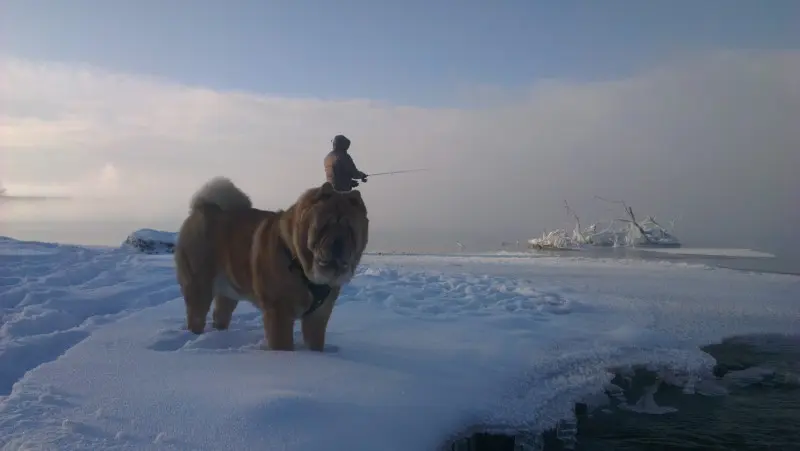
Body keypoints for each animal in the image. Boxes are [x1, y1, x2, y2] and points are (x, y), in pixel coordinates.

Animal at [175, 177, 368, 354]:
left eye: (350, 229)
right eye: (324, 226)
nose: (338, 243)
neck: (298, 262)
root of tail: (203, 207)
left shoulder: (318, 316)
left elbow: (315, 343)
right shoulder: (279, 312)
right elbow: (283, 345)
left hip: (228, 293)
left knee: (220, 315)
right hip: (199, 287)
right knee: (196, 315)